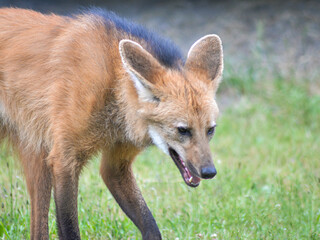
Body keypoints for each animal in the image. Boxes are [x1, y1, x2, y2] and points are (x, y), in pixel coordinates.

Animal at [0, 7, 222, 240]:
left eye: (210, 130)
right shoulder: (64, 160)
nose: (209, 172)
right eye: (183, 130)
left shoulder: (116, 165)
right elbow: (70, 228)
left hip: (37, 154)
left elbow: (151, 227)